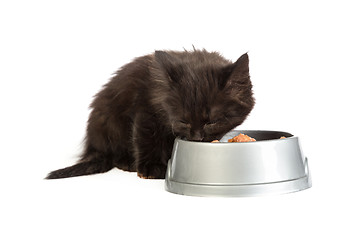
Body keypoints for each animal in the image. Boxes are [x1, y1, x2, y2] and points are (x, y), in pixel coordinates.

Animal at [46, 48, 255, 179]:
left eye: (212, 122)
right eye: (183, 121)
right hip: (110, 122)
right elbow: (147, 137)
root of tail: (93, 146)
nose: (196, 138)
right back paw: (128, 162)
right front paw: (151, 167)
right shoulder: (146, 109)